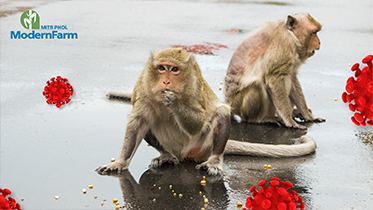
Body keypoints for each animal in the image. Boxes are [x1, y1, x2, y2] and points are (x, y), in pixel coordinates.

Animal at [96, 47, 230, 176]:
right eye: (162, 68)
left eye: (174, 69)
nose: (165, 81)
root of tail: (182, 156)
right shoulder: (143, 83)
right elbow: (139, 121)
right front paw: (120, 162)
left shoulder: (195, 84)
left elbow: (197, 125)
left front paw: (175, 102)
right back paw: (167, 155)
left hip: (201, 149)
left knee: (222, 112)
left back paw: (214, 160)